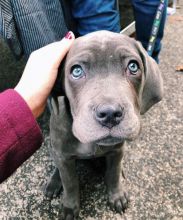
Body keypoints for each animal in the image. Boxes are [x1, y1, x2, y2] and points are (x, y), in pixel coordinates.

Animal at [44, 30, 163, 219]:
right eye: (76, 71)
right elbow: (70, 182)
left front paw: (117, 196)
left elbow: (113, 174)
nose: (110, 114)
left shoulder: (117, 150)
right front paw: (70, 207)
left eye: (133, 67)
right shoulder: (63, 154)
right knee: (59, 167)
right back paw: (54, 182)